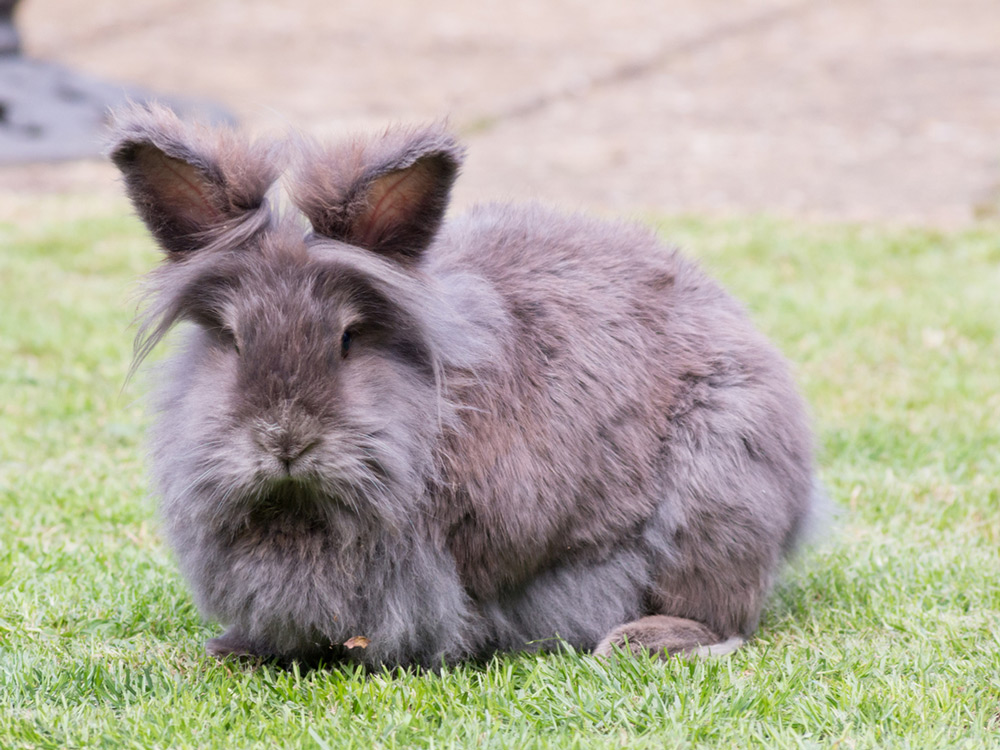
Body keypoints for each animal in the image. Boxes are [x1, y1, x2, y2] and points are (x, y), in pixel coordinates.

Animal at [109, 103, 821, 669]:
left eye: (348, 339)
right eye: (231, 340)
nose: (286, 441)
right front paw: (235, 648)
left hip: (720, 497)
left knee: (724, 615)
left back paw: (641, 640)